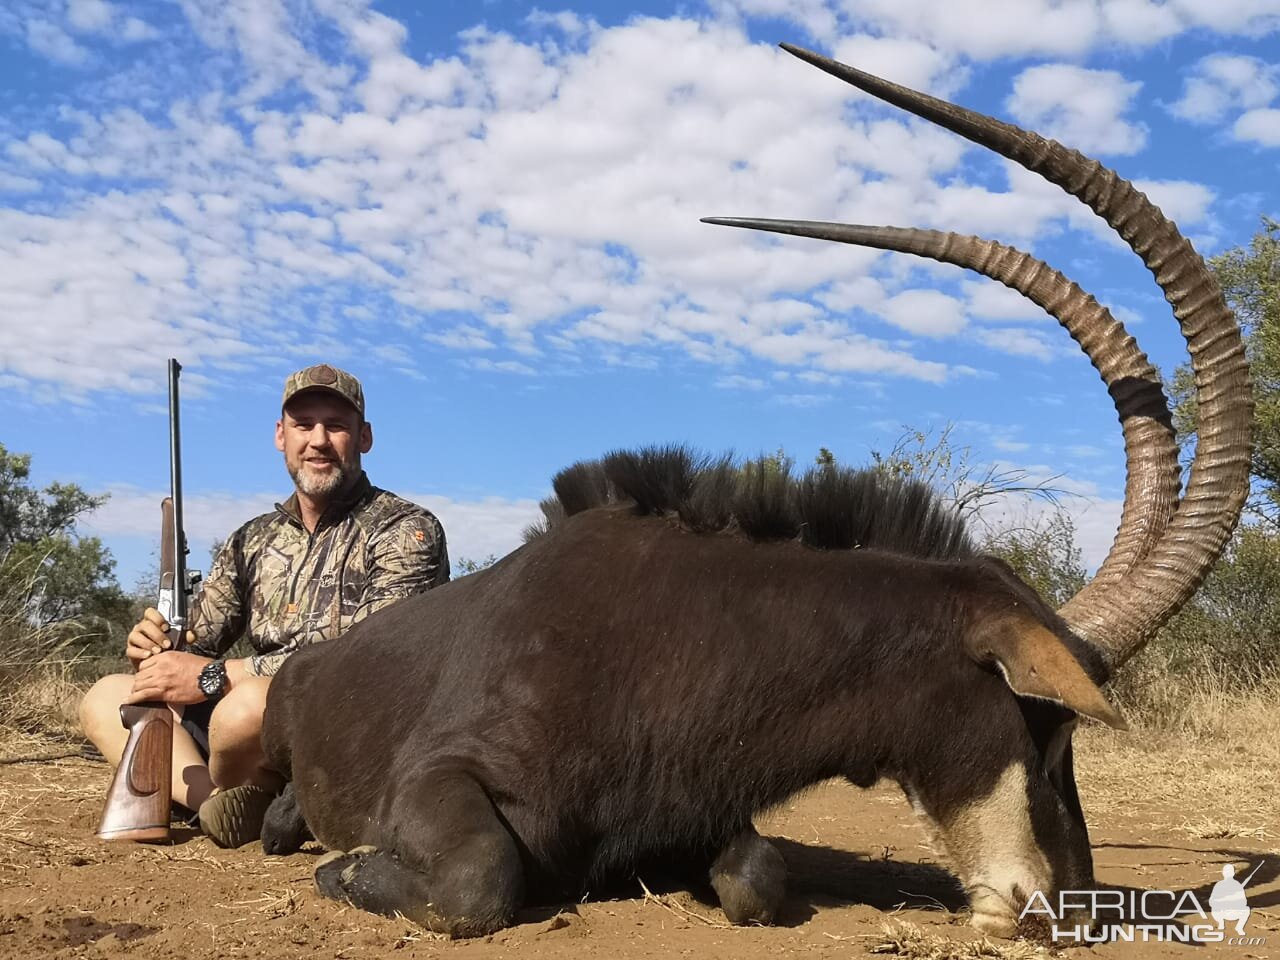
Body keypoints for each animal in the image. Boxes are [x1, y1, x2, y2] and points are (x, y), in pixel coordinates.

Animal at [259, 45, 1249, 942]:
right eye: (1042, 724)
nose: (1072, 910)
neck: (671, 634)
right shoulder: (441, 778)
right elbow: (479, 877)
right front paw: (345, 866)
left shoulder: (696, 813)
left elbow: (757, 878)